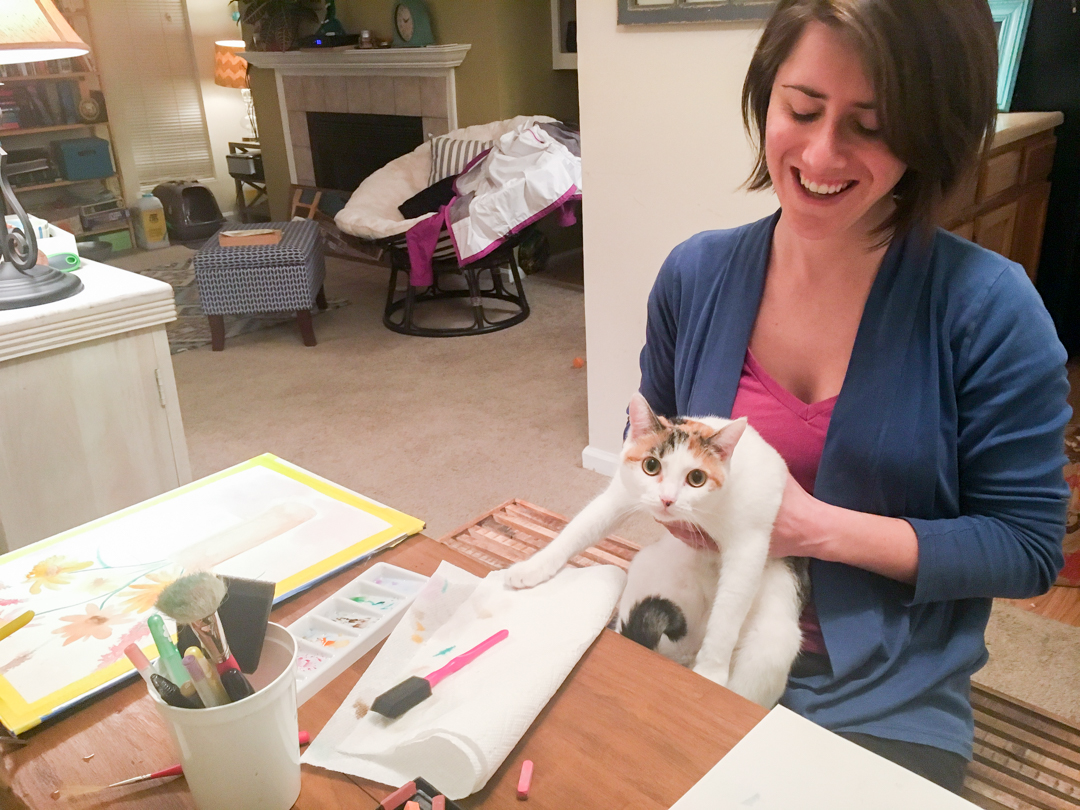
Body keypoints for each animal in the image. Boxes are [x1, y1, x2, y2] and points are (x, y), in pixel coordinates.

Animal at [506, 393, 806, 707]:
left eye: (696, 478)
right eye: (651, 466)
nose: (667, 500)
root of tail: (683, 651)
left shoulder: (749, 544)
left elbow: (728, 615)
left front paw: (711, 672)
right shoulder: (620, 495)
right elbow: (580, 528)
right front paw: (532, 567)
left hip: (770, 647)